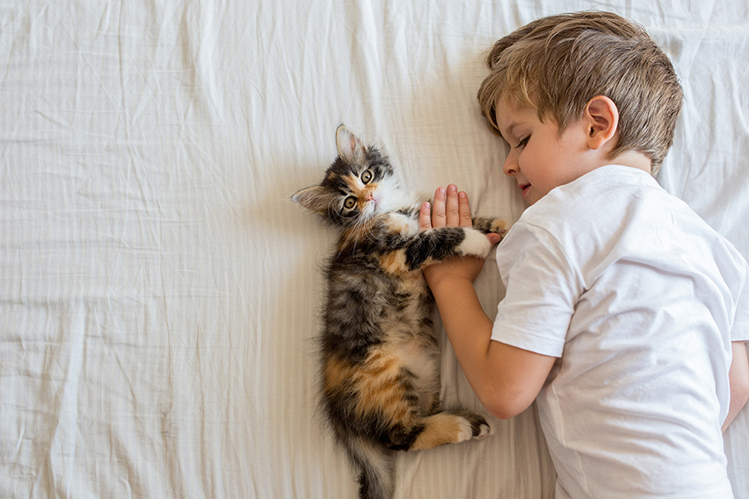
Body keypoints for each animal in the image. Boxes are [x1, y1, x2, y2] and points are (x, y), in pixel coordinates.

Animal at [292, 126, 508, 499]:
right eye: (349, 203)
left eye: (366, 176)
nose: (370, 197)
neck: (391, 210)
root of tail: (337, 411)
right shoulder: (395, 253)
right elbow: (436, 236)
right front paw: (477, 240)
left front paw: (498, 223)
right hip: (385, 373)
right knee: (398, 438)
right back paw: (461, 427)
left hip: (427, 377)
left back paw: (470, 424)